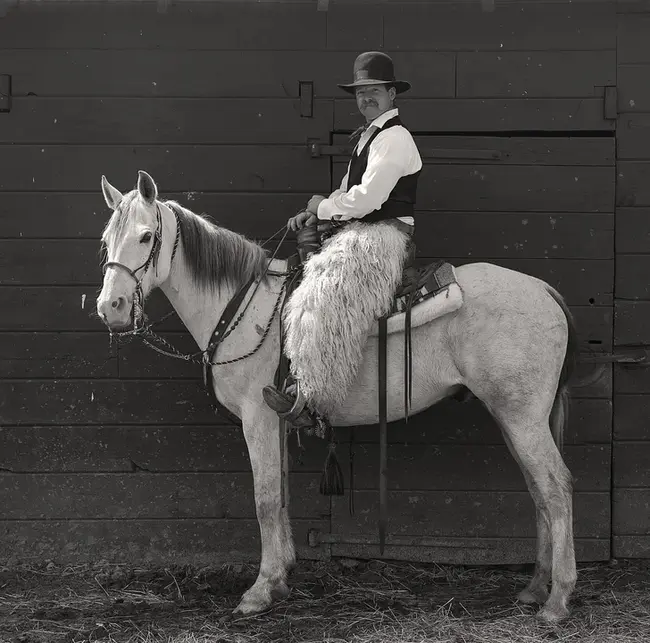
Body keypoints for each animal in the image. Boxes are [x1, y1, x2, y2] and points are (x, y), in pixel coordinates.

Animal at [97, 170, 576, 624]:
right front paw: (280, 580)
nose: (110, 308)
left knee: (556, 488)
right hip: (513, 416)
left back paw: (558, 599)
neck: (243, 308)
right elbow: (281, 496)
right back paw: (536, 586)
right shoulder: (275, 421)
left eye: (146, 236)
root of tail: (543, 290)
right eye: (106, 241)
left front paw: (258, 592)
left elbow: (265, 499)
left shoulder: (257, 417)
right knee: (538, 491)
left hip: (522, 417)